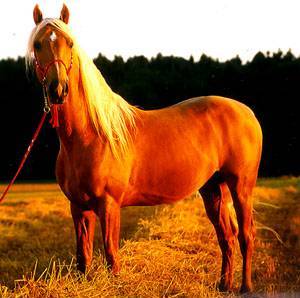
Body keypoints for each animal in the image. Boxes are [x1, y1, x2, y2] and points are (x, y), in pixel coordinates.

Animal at [27, 4, 262, 294]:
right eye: (38, 44)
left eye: (69, 43)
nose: (58, 89)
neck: (88, 136)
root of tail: (247, 112)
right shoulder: (79, 207)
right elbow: (84, 257)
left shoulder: (109, 204)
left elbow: (111, 254)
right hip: (213, 188)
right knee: (226, 236)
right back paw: (223, 285)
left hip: (241, 186)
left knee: (246, 235)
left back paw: (245, 287)